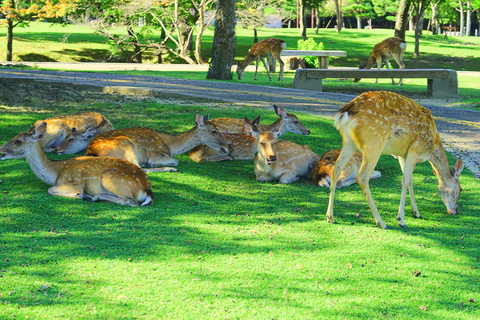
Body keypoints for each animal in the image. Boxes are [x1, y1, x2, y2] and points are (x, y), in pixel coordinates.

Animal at [0, 122, 154, 208]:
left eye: (18, 141)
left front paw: (81, 195)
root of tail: (147, 190)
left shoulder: (73, 183)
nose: (1, 150)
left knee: (131, 202)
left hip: (111, 177)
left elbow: (50, 190)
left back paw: (93, 197)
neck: (56, 172)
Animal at [84, 112, 229, 170]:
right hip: (126, 146)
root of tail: (90, 151)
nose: (228, 145)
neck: (170, 145)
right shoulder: (155, 154)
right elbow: (175, 161)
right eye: (214, 131)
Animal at [324, 91, 464, 229]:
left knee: (336, 168)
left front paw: (416, 212)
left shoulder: (402, 154)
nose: (456, 211)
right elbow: (406, 180)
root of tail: (345, 113)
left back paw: (330, 217)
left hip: (349, 142)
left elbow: (411, 180)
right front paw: (401, 219)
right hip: (374, 143)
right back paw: (381, 222)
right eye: (459, 189)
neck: (431, 148)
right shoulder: (415, 149)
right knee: (362, 177)